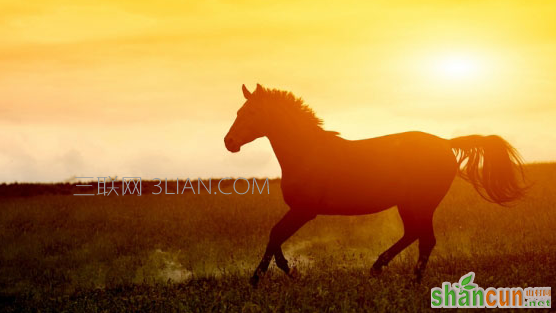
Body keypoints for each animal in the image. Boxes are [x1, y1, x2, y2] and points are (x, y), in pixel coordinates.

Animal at [225, 83, 524, 288]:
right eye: (239, 111)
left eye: (251, 112)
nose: (229, 142)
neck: (306, 153)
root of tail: (446, 143)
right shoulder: (299, 211)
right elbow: (275, 237)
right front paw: (284, 271)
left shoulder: (304, 211)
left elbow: (275, 234)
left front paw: (264, 278)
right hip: (409, 205)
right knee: (415, 235)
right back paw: (380, 268)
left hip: (421, 204)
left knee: (425, 239)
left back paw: (408, 281)